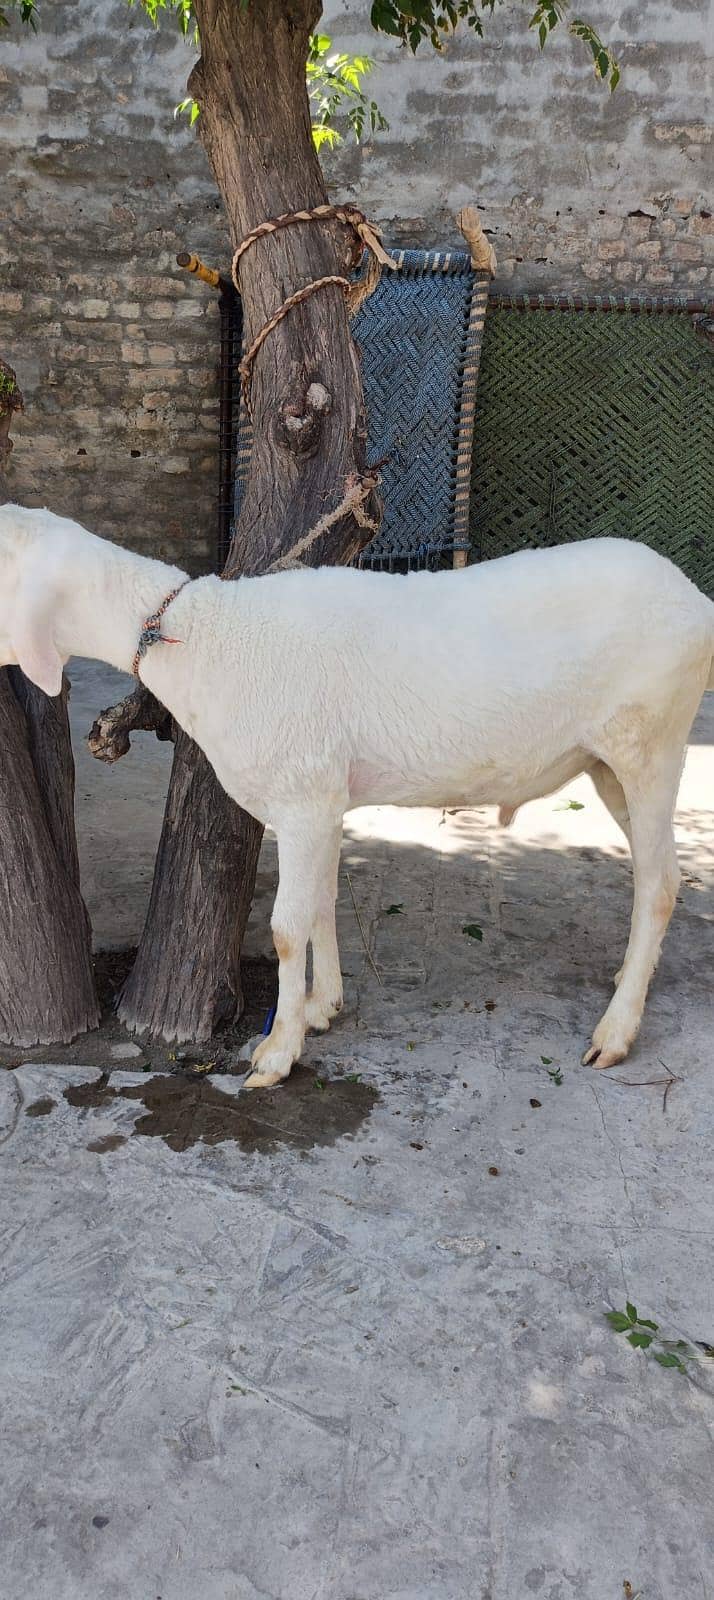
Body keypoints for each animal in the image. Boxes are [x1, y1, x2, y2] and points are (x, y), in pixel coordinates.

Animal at [0, 503, 712, 1089]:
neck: (205, 639)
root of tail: (693, 599)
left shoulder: (303, 795)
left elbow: (286, 927)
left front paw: (276, 1055)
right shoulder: (320, 797)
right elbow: (321, 902)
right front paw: (322, 1008)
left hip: (650, 743)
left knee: (660, 883)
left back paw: (615, 1032)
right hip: (606, 766)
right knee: (657, 875)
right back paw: (630, 976)